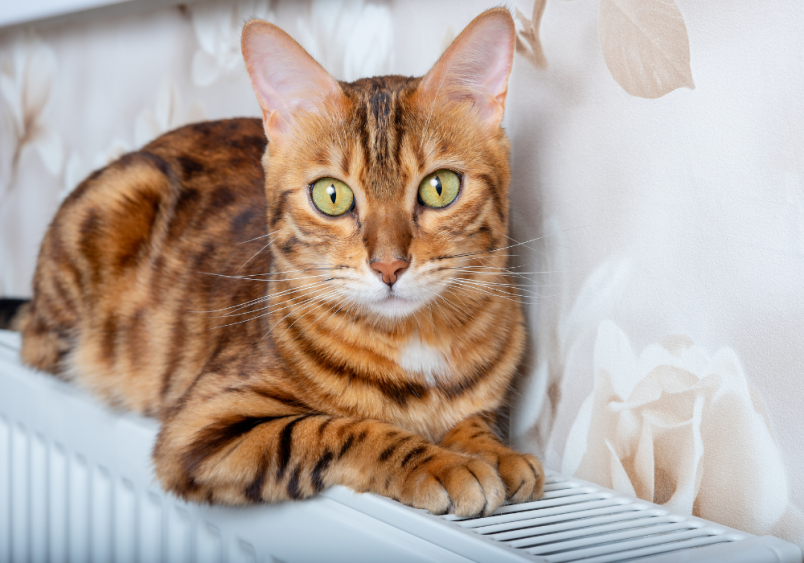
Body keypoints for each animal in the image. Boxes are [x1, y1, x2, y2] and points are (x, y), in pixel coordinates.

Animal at [4, 9, 548, 520]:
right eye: (332, 195)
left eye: (440, 187)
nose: (389, 266)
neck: (419, 345)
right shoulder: (204, 426)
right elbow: (341, 427)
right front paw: (441, 462)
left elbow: (473, 419)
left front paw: (493, 450)